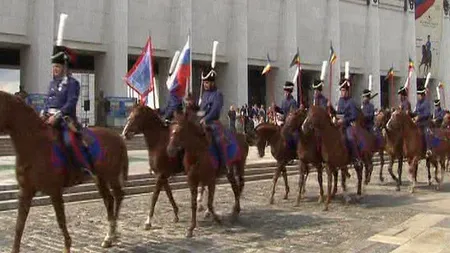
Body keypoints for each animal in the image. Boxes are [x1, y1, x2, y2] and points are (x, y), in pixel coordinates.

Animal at [0, 90, 129, 251]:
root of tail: (118, 137)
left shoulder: (55, 191)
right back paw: (109, 237)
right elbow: (19, 225)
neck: (35, 145)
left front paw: (67, 246)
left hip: (111, 176)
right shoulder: (25, 192)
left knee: (118, 196)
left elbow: (60, 220)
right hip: (99, 178)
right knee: (109, 199)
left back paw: (112, 233)